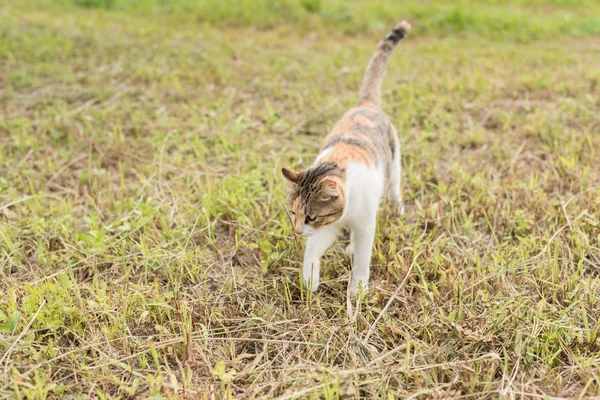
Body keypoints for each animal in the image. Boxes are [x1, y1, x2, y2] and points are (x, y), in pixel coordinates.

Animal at [284, 21, 410, 296]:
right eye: (293, 213)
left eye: (311, 217)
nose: (297, 231)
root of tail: (367, 104)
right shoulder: (327, 227)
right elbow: (313, 251)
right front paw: (310, 279)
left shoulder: (363, 222)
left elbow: (363, 257)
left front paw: (358, 288)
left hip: (394, 166)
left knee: (395, 189)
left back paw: (397, 208)